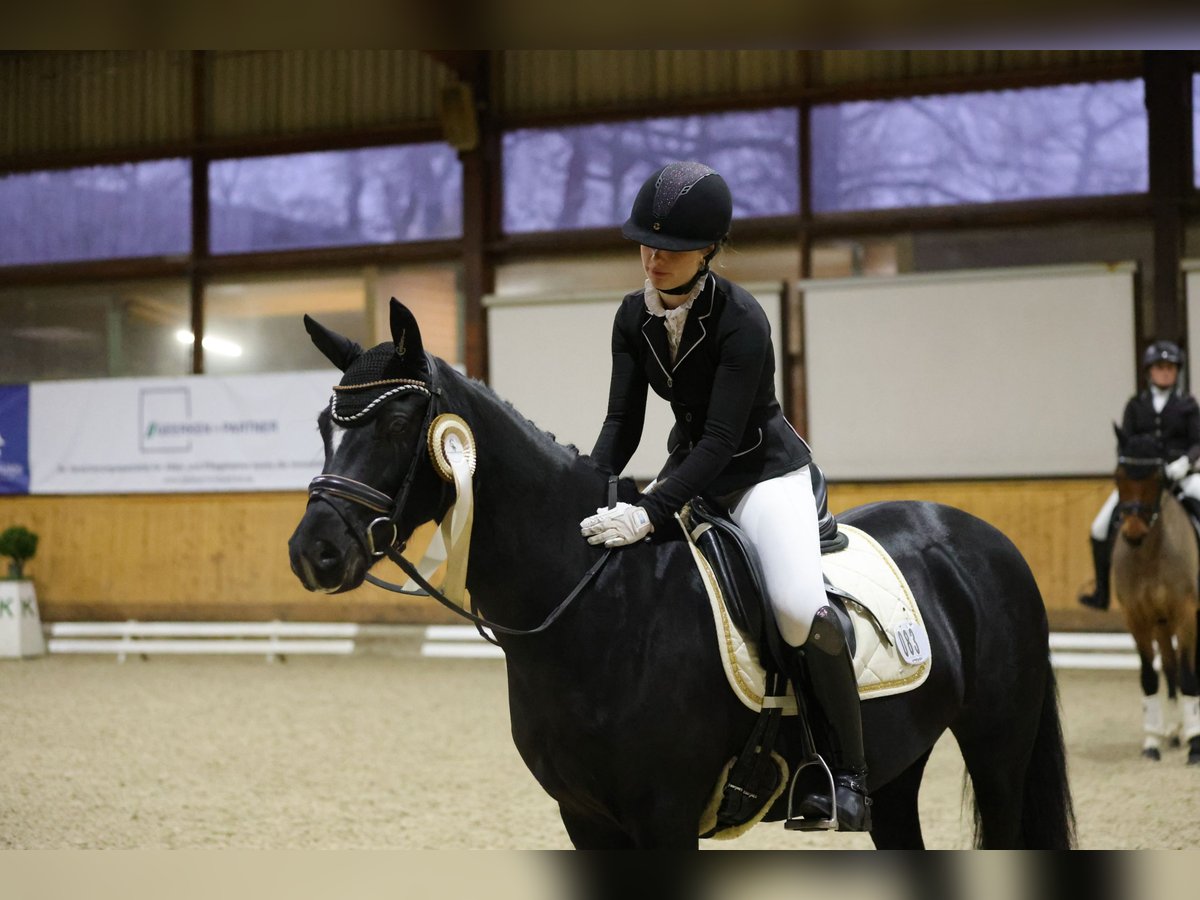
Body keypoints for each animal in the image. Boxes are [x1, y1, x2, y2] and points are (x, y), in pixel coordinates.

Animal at [285, 303, 1075, 854]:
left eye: (395, 428)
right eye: (326, 426)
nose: (312, 552)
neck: (594, 606)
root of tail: (978, 535)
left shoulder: (664, 818)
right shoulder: (585, 818)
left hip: (998, 748)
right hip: (899, 764)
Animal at [1104, 427, 1200, 763]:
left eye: (1158, 477)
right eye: (1118, 475)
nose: (1133, 533)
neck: (1149, 555)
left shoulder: (1186, 612)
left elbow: (1188, 674)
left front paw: (1196, 744)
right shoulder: (1138, 617)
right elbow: (1150, 676)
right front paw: (1152, 741)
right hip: (1161, 622)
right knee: (1169, 668)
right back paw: (1173, 731)